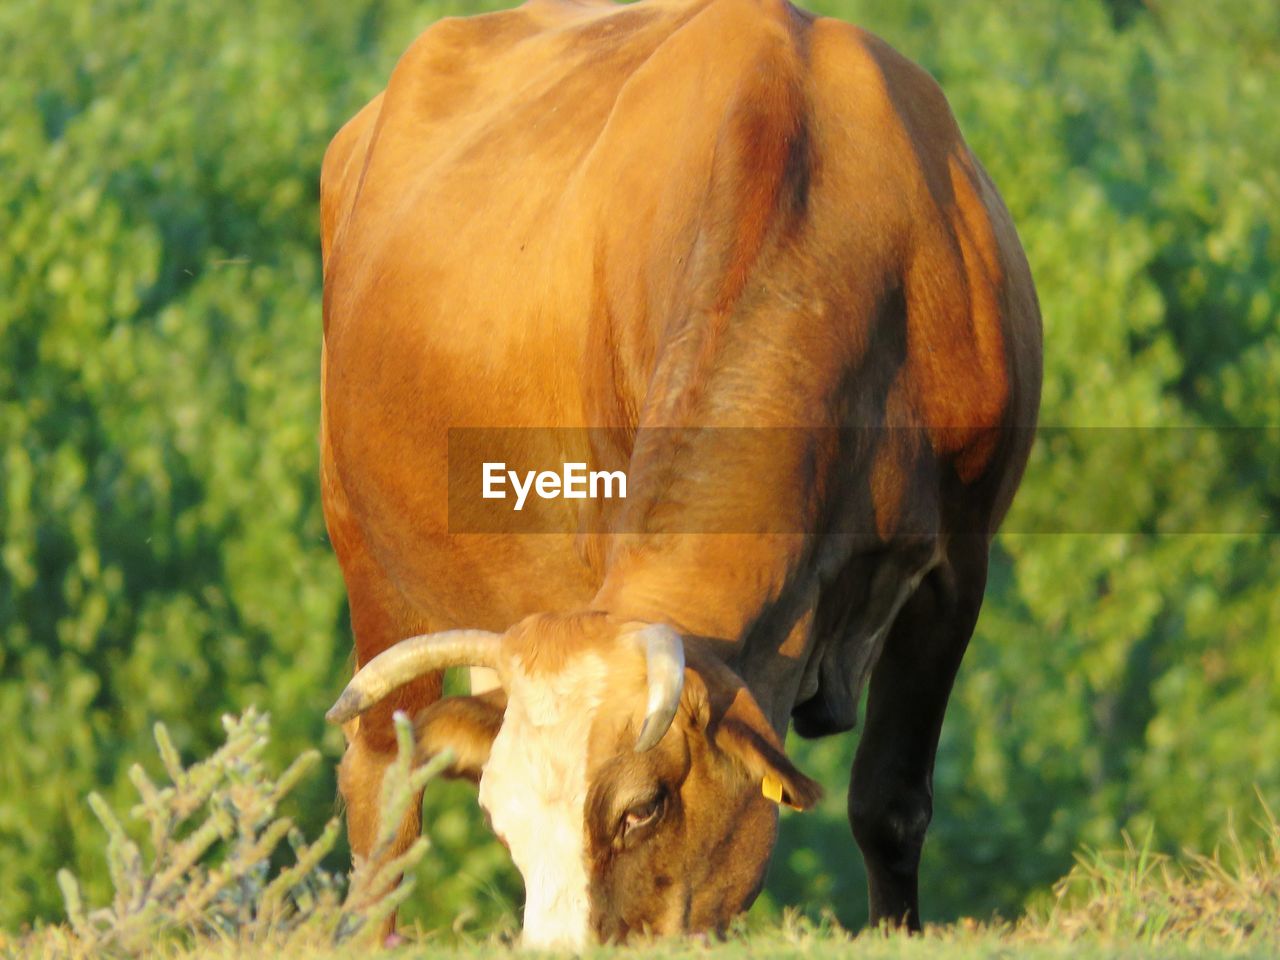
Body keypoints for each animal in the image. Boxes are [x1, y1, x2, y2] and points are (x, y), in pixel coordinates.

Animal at [317, 0, 1039, 947]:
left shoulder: (958, 562)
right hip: (366, 555)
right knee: (383, 792)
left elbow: (890, 804)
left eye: (642, 806)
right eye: (504, 823)